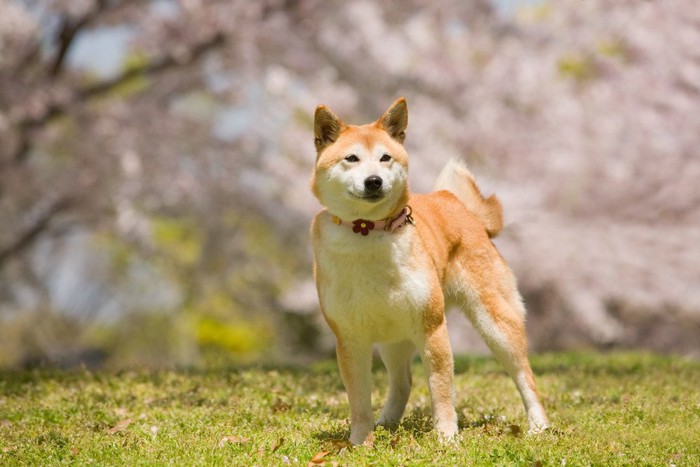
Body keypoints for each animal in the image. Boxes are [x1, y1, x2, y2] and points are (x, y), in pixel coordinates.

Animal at [310, 97, 548, 444]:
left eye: (385, 158)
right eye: (351, 158)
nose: (374, 180)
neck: (368, 232)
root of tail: (457, 203)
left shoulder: (431, 327)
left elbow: (441, 390)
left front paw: (447, 438)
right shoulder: (350, 338)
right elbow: (359, 399)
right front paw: (360, 442)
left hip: (496, 325)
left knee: (524, 375)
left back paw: (539, 426)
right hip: (393, 337)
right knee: (402, 382)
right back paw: (387, 423)